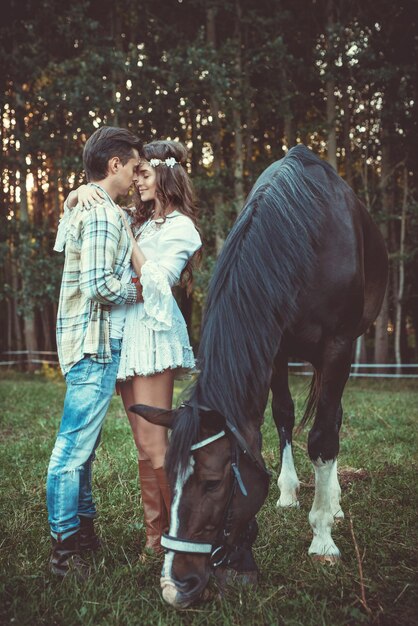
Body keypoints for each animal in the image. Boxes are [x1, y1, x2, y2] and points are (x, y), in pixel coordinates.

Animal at [132, 145, 386, 604]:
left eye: (213, 483)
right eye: (168, 479)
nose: (174, 586)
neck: (304, 235)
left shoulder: (338, 347)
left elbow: (322, 439)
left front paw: (323, 539)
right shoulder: (274, 348)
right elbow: (281, 416)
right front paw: (285, 492)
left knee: (332, 421)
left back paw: (333, 505)